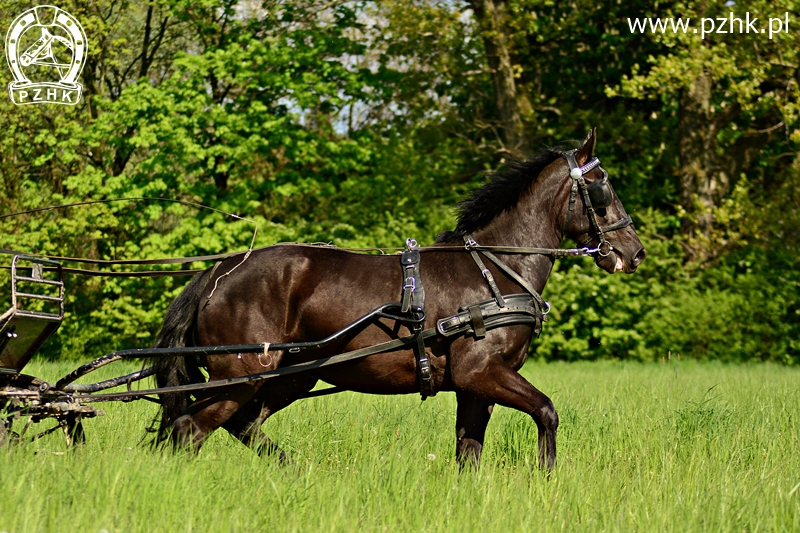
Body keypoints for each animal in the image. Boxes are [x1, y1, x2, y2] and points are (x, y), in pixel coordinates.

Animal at [153, 130, 648, 470]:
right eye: (602, 186)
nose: (634, 252)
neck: (494, 268)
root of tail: (219, 272)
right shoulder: (482, 371)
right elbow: (547, 412)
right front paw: (545, 478)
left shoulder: (473, 386)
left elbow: (468, 452)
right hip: (241, 375)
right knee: (190, 428)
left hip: (290, 377)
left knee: (241, 425)